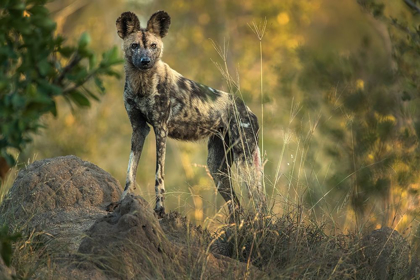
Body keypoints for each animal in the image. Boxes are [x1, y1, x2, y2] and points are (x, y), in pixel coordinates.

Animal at [115, 9, 266, 219]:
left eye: (153, 46)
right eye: (134, 46)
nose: (145, 61)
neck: (142, 84)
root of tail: (248, 109)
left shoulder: (161, 129)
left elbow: (159, 176)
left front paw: (159, 210)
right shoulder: (139, 128)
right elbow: (130, 171)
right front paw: (123, 202)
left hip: (244, 159)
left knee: (260, 201)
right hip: (217, 169)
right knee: (236, 205)